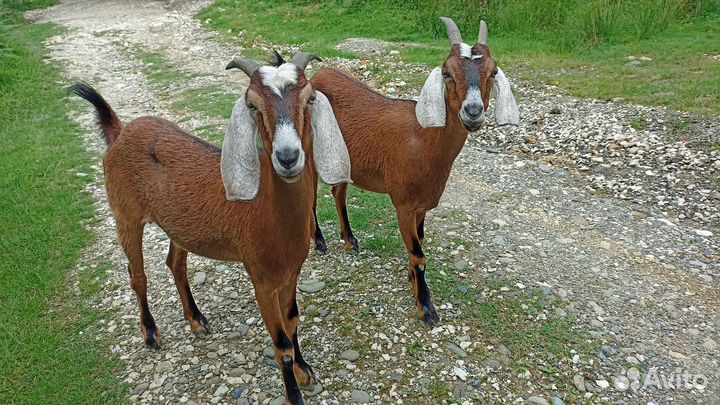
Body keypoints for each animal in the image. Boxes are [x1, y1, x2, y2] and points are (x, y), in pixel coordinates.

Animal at [70, 51, 351, 405]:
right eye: (253, 105)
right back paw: (151, 334)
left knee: (175, 263)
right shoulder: (260, 278)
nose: (287, 157)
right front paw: (294, 394)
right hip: (125, 215)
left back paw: (196, 319)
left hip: (177, 225)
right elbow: (281, 343)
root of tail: (120, 131)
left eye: (310, 98)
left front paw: (304, 370)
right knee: (138, 275)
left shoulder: (291, 273)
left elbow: (293, 322)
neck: (269, 213)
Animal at [311, 18, 519, 327]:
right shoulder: (404, 203)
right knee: (310, 198)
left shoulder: (422, 205)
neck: (423, 140)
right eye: (447, 72)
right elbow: (419, 256)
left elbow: (418, 244)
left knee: (338, 192)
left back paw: (349, 240)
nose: (473, 112)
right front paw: (426, 306)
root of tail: (314, 77)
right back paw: (320, 242)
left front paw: (413, 282)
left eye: (493, 71)